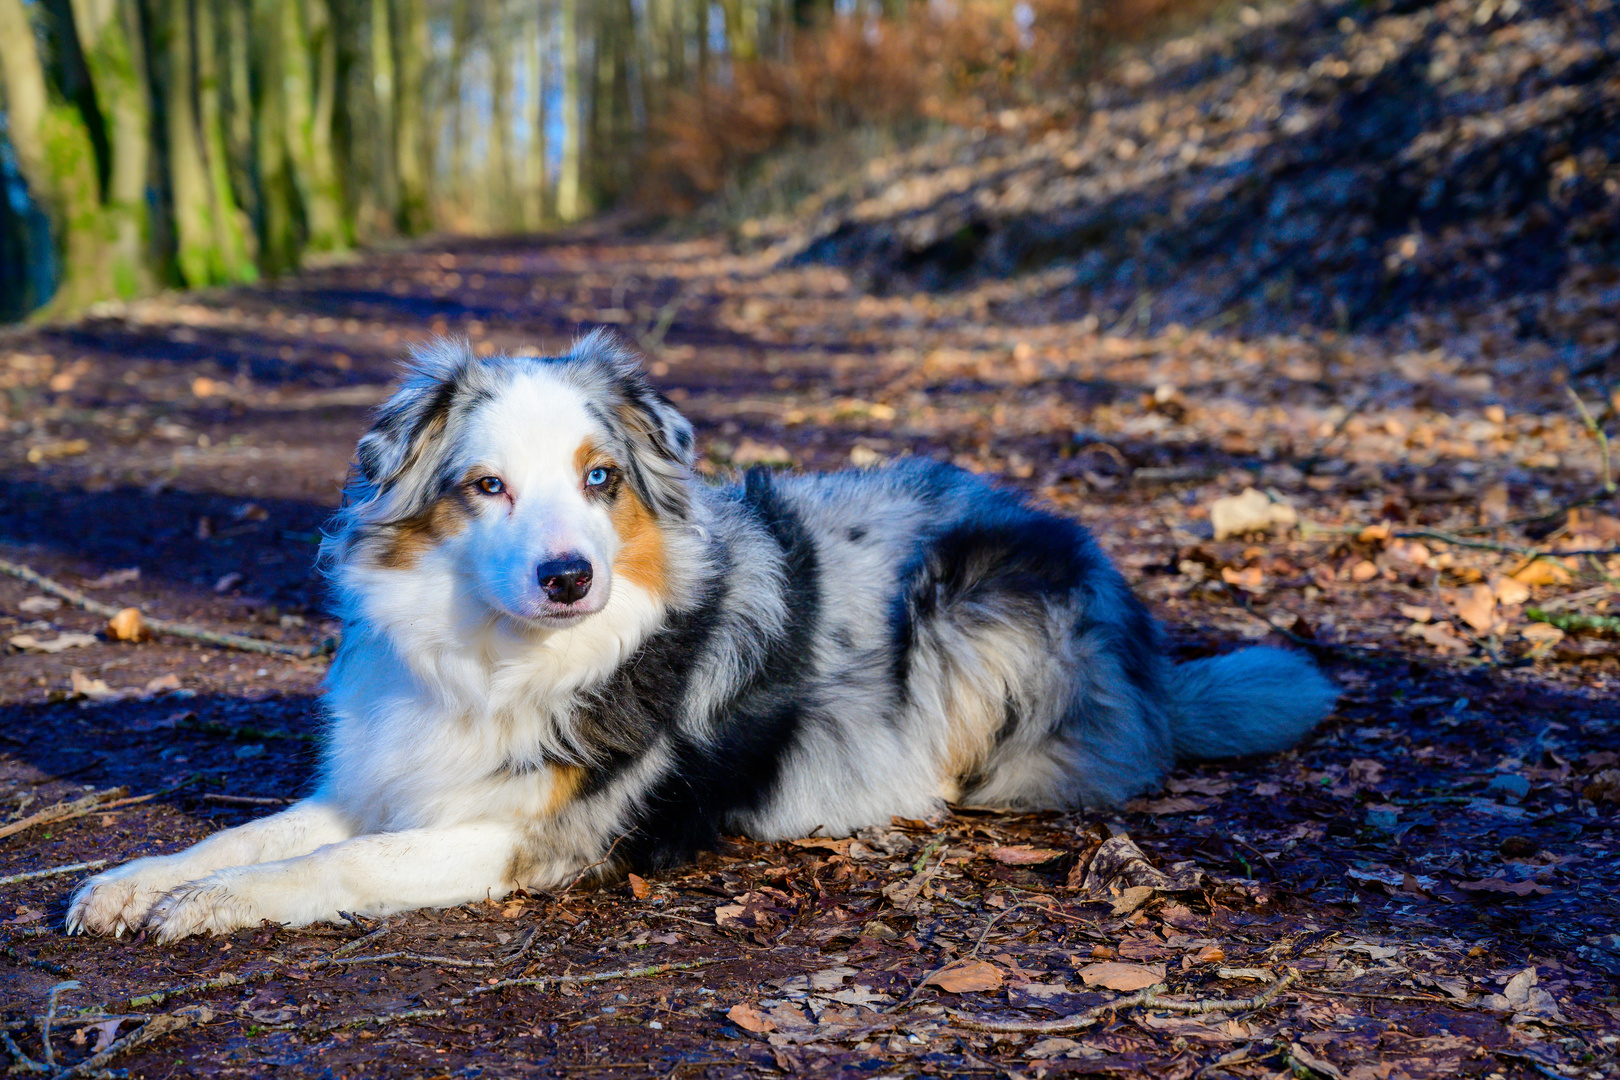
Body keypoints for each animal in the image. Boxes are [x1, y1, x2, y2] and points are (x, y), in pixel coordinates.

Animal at [63, 330, 1334, 939]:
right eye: (485, 486)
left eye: (601, 477)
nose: (569, 577)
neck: (496, 653)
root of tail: (1152, 654)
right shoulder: (388, 777)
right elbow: (255, 834)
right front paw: (138, 885)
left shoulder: (517, 838)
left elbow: (337, 862)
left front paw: (202, 909)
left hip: (971, 600)